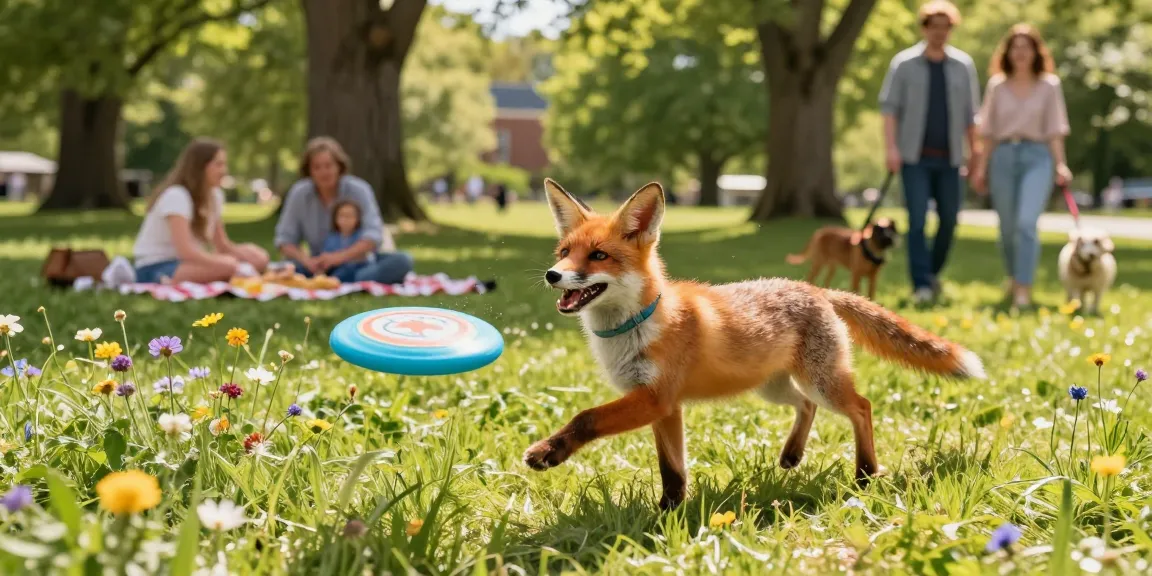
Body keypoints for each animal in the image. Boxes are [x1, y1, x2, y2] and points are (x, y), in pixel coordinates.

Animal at [523, 179, 987, 510]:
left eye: (598, 256)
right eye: (564, 252)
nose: (552, 274)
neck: (638, 325)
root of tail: (816, 289)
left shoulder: (655, 397)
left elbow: (586, 417)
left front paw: (549, 452)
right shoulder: (664, 407)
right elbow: (673, 470)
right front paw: (669, 513)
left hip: (822, 382)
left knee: (862, 407)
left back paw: (865, 474)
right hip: (772, 387)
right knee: (807, 406)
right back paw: (793, 455)